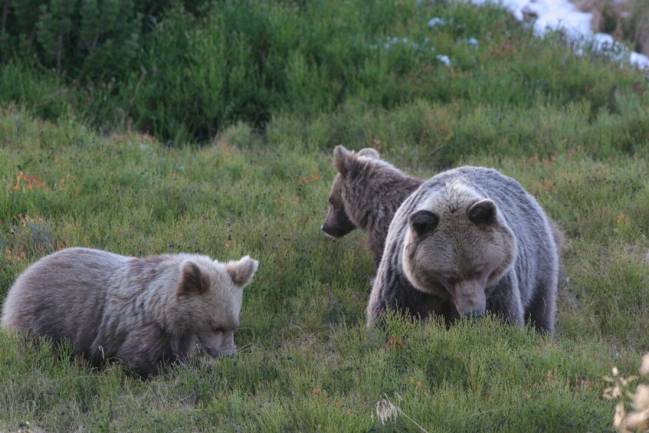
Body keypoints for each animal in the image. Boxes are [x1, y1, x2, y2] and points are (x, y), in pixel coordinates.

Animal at [1, 247, 258, 376]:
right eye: (217, 326)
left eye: (234, 326)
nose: (228, 355)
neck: (164, 310)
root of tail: (22, 276)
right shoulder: (143, 328)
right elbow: (143, 361)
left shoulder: (180, 332)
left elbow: (178, 354)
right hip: (44, 315)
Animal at [366, 166, 559, 334]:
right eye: (449, 276)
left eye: (479, 269)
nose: (473, 312)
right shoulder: (404, 284)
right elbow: (387, 315)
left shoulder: (497, 286)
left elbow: (503, 319)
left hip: (539, 263)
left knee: (540, 307)